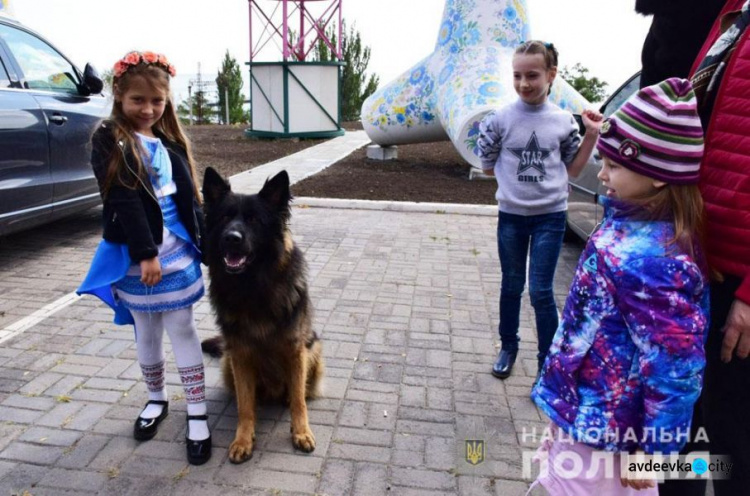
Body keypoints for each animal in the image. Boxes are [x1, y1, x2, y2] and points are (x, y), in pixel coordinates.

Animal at [201, 169, 324, 464]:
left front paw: (301, 432)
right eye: (224, 217)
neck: (252, 286)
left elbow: (299, 400)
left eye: (254, 220)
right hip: (228, 361)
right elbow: (245, 406)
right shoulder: (240, 354)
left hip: (314, 348)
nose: (231, 237)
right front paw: (243, 440)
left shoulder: (296, 350)